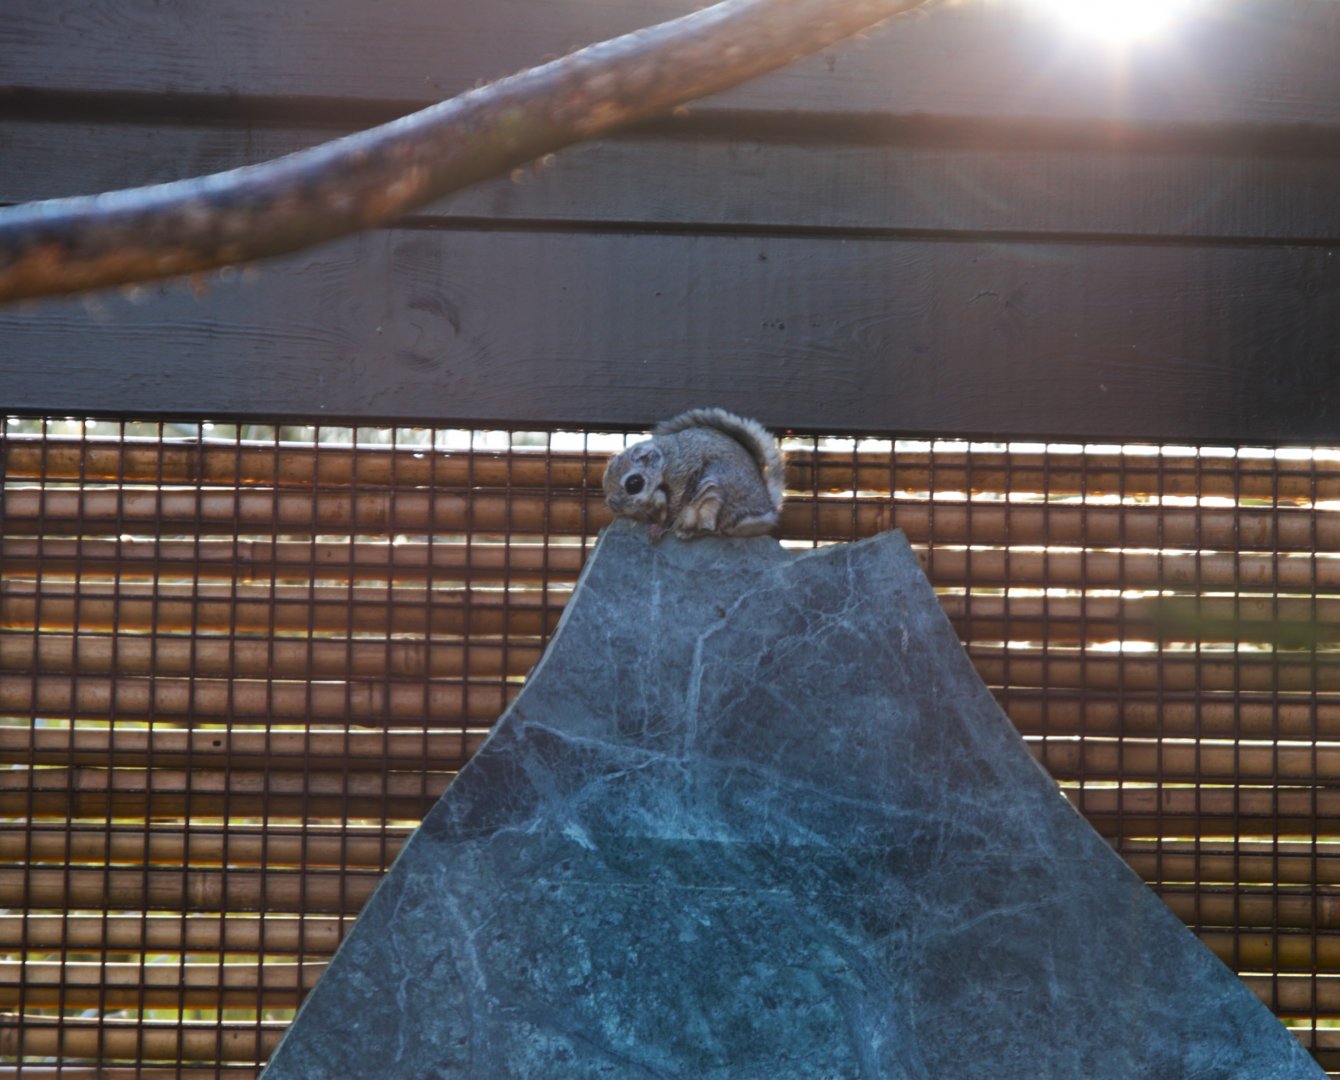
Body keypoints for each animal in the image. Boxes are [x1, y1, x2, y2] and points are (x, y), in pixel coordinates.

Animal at [602, 407, 786, 542]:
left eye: (634, 483)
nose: (613, 506)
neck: (664, 462)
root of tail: (766, 510)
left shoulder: (681, 475)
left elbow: (675, 508)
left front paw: (661, 527)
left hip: (713, 497)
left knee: (716, 531)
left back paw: (690, 532)